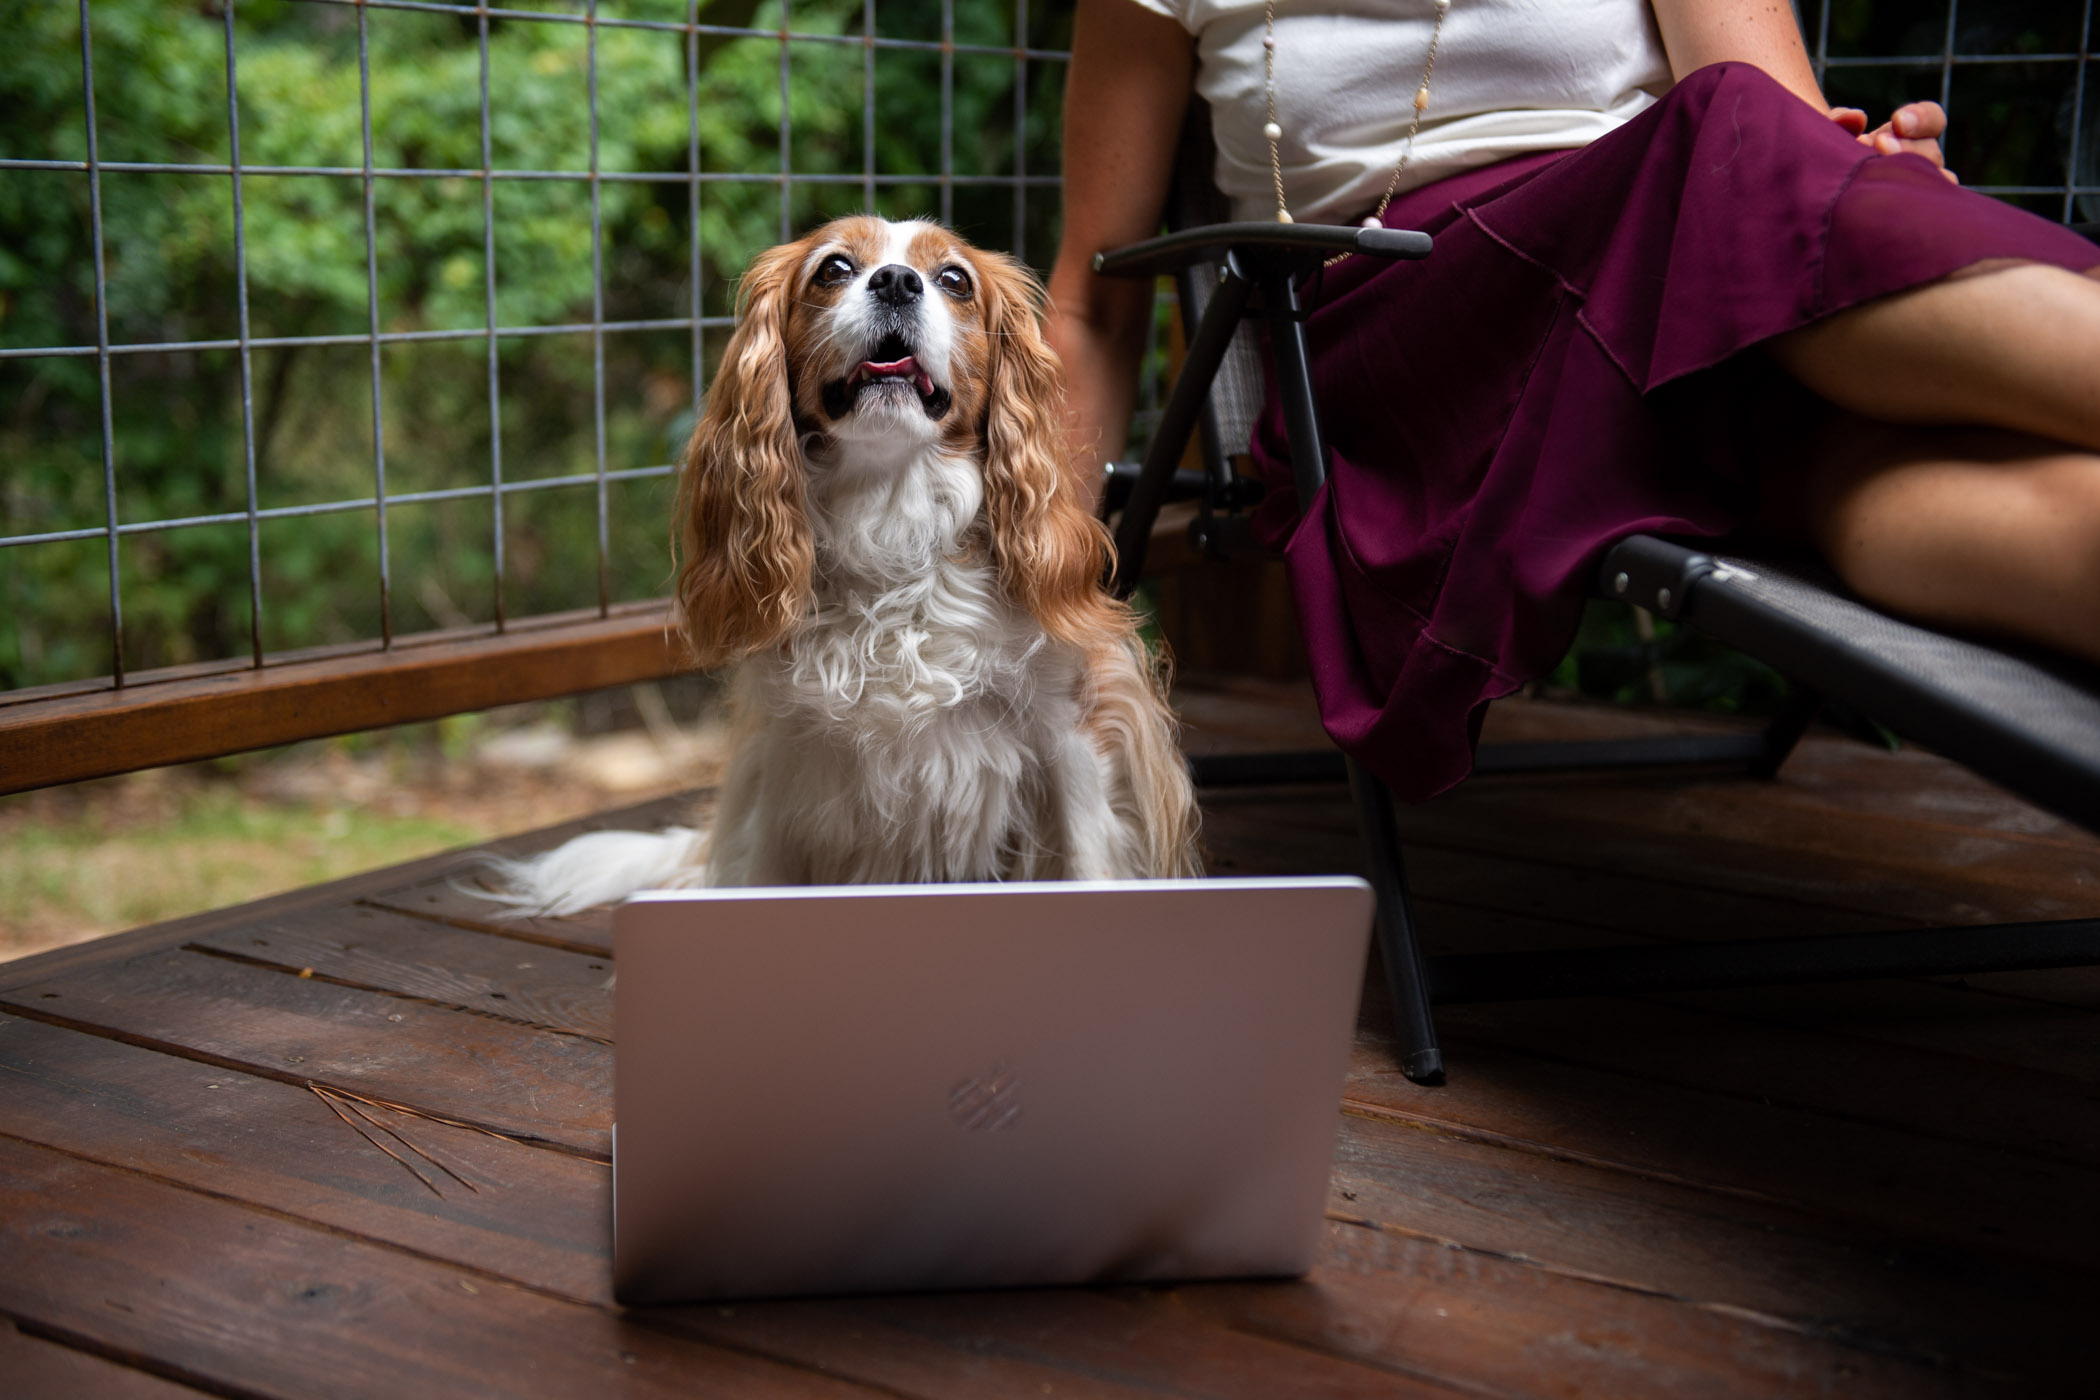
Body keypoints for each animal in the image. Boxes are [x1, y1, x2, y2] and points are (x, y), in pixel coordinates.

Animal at [493, 217, 1209, 915]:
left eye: (954, 278)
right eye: (834, 268)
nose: (896, 280)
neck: (889, 511)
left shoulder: (1072, 729)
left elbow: (1088, 859)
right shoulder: (784, 760)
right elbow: (761, 873)